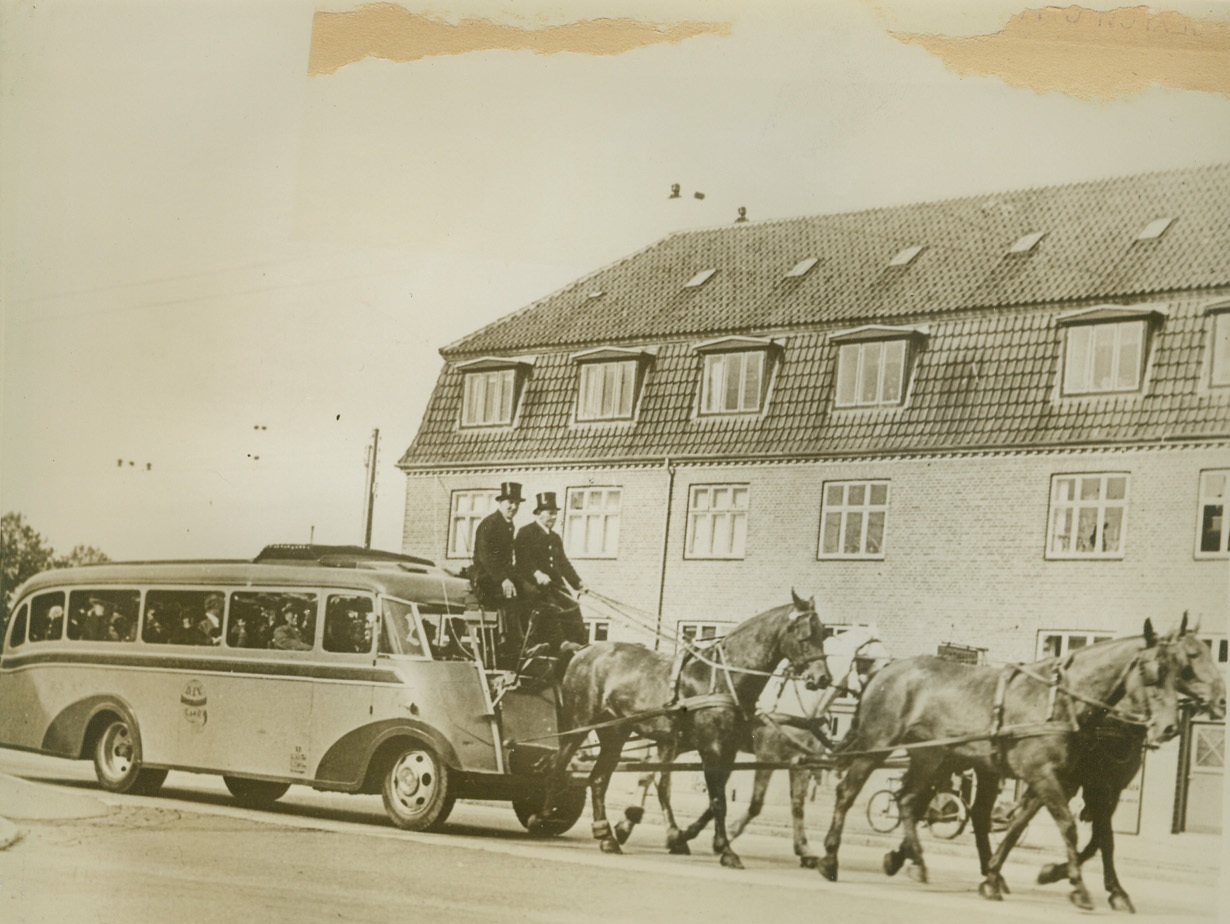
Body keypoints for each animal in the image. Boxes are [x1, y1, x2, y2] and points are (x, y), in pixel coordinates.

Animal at [533, 593, 831, 866]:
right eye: (805, 633)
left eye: (823, 632)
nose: (822, 678)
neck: (721, 678)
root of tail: (581, 651)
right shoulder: (712, 748)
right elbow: (718, 800)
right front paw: (725, 849)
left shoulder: (728, 751)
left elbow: (712, 798)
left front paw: (689, 837)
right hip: (579, 724)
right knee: (557, 765)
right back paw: (544, 815)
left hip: (615, 733)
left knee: (597, 780)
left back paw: (607, 836)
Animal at [816, 622, 1180, 910]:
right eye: (1152, 673)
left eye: (1179, 668)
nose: (1169, 727)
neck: (1061, 700)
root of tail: (884, 673)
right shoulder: (1048, 775)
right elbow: (1069, 827)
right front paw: (1078, 887)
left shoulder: (1071, 782)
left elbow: (1070, 831)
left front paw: (1001, 875)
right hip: (877, 747)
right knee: (849, 793)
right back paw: (830, 859)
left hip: (932, 757)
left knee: (911, 801)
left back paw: (915, 861)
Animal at [993, 617, 1225, 915]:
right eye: (1192, 656)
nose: (1222, 700)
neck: (1115, 721)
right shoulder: (1086, 785)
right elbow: (1101, 838)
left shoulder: (1107, 790)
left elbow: (1098, 840)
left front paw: (1059, 873)